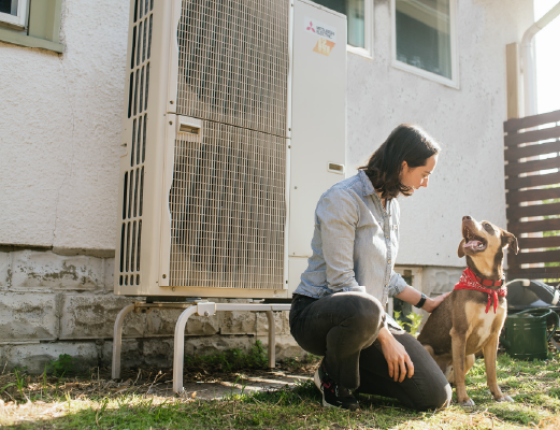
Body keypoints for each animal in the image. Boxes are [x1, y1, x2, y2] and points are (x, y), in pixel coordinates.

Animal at [418, 217, 520, 404]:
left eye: (487, 225)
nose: (465, 217)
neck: (486, 286)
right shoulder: (460, 332)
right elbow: (460, 372)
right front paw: (464, 399)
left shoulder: (494, 336)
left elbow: (492, 373)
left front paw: (499, 396)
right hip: (429, 348)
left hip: (470, 356)